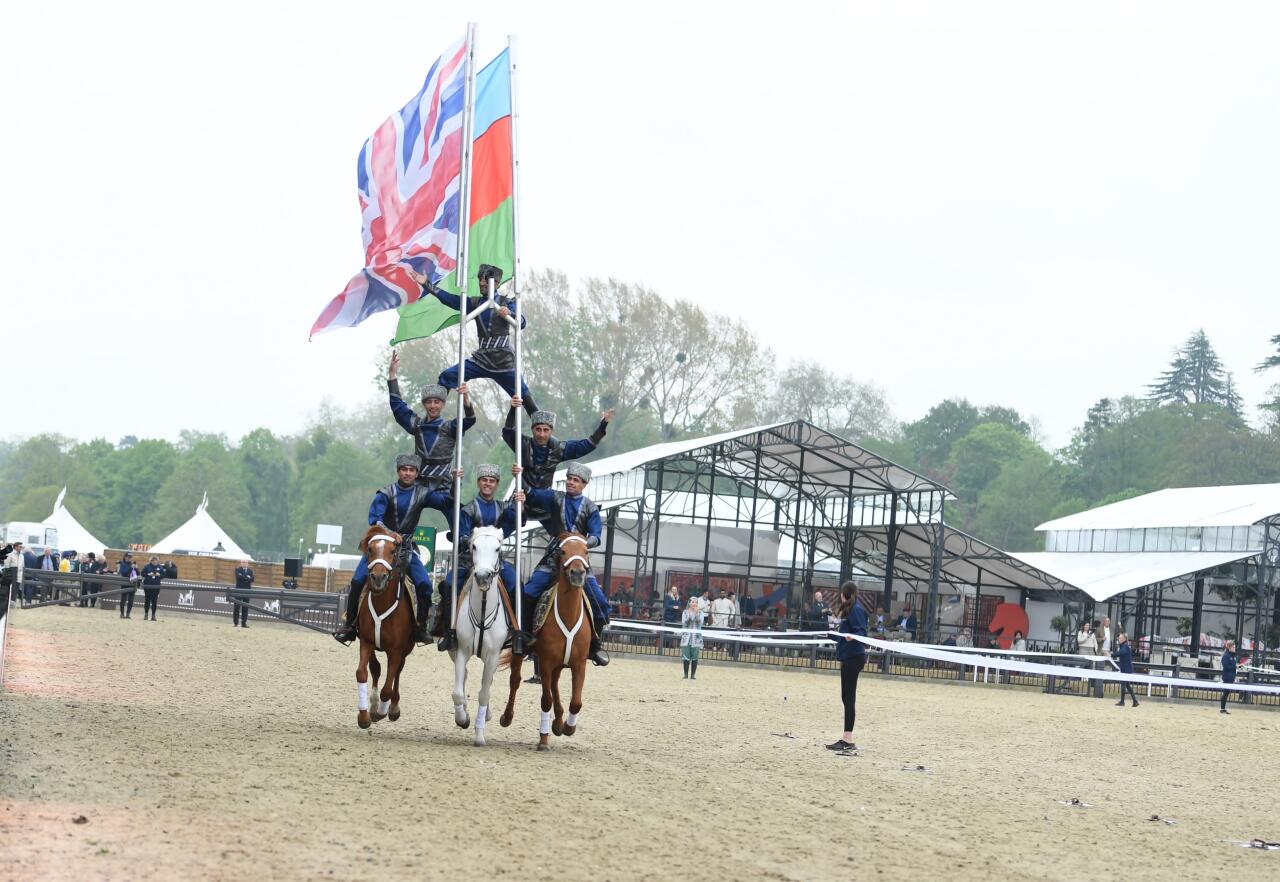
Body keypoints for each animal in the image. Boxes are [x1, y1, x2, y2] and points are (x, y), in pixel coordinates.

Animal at [355, 527, 414, 727]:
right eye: (370, 549)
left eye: (392, 551)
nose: (378, 577)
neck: (382, 603)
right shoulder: (366, 641)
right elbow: (363, 673)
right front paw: (365, 715)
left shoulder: (396, 650)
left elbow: (387, 688)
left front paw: (381, 712)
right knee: (377, 669)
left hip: (405, 650)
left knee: (397, 672)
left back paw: (393, 707)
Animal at [448, 527, 512, 747]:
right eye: (473, 546)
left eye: (498, 548)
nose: (483, 577)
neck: (483, 611)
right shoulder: (461, 650)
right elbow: (457, 693)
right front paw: (462, 718)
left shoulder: (493, 656)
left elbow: (484, 693)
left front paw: (479, 734)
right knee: (464, 677)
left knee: (487, 683)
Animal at [501, 529, 596, 747]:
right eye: (562, 551)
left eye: (586, 551)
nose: (577, 573)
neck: (568, 617)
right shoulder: (545, 662)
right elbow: (546, 700)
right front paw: (543, 739)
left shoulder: (579, 664)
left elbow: (576, 702)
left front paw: (569, 727)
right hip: (522, 655)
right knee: (515, 681)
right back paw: (507, 717)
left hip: (559, 664)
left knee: (554, 684)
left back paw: (559, 722)